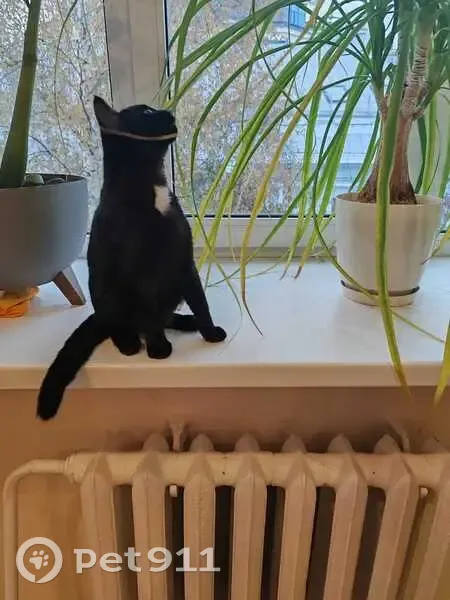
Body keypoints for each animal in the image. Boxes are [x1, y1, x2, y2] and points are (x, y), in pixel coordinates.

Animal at [36, 96, 226, 421]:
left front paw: (210, 333)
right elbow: (149, 314)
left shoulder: (184, 262)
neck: (152, 189)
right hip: (110, 298)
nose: (169, 112)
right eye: (147, 113)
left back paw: (184, 321)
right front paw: (158, 350)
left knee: (164, 315)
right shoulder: (142, 274)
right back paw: (130, 343)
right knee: (122, 324)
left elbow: (201, 302)